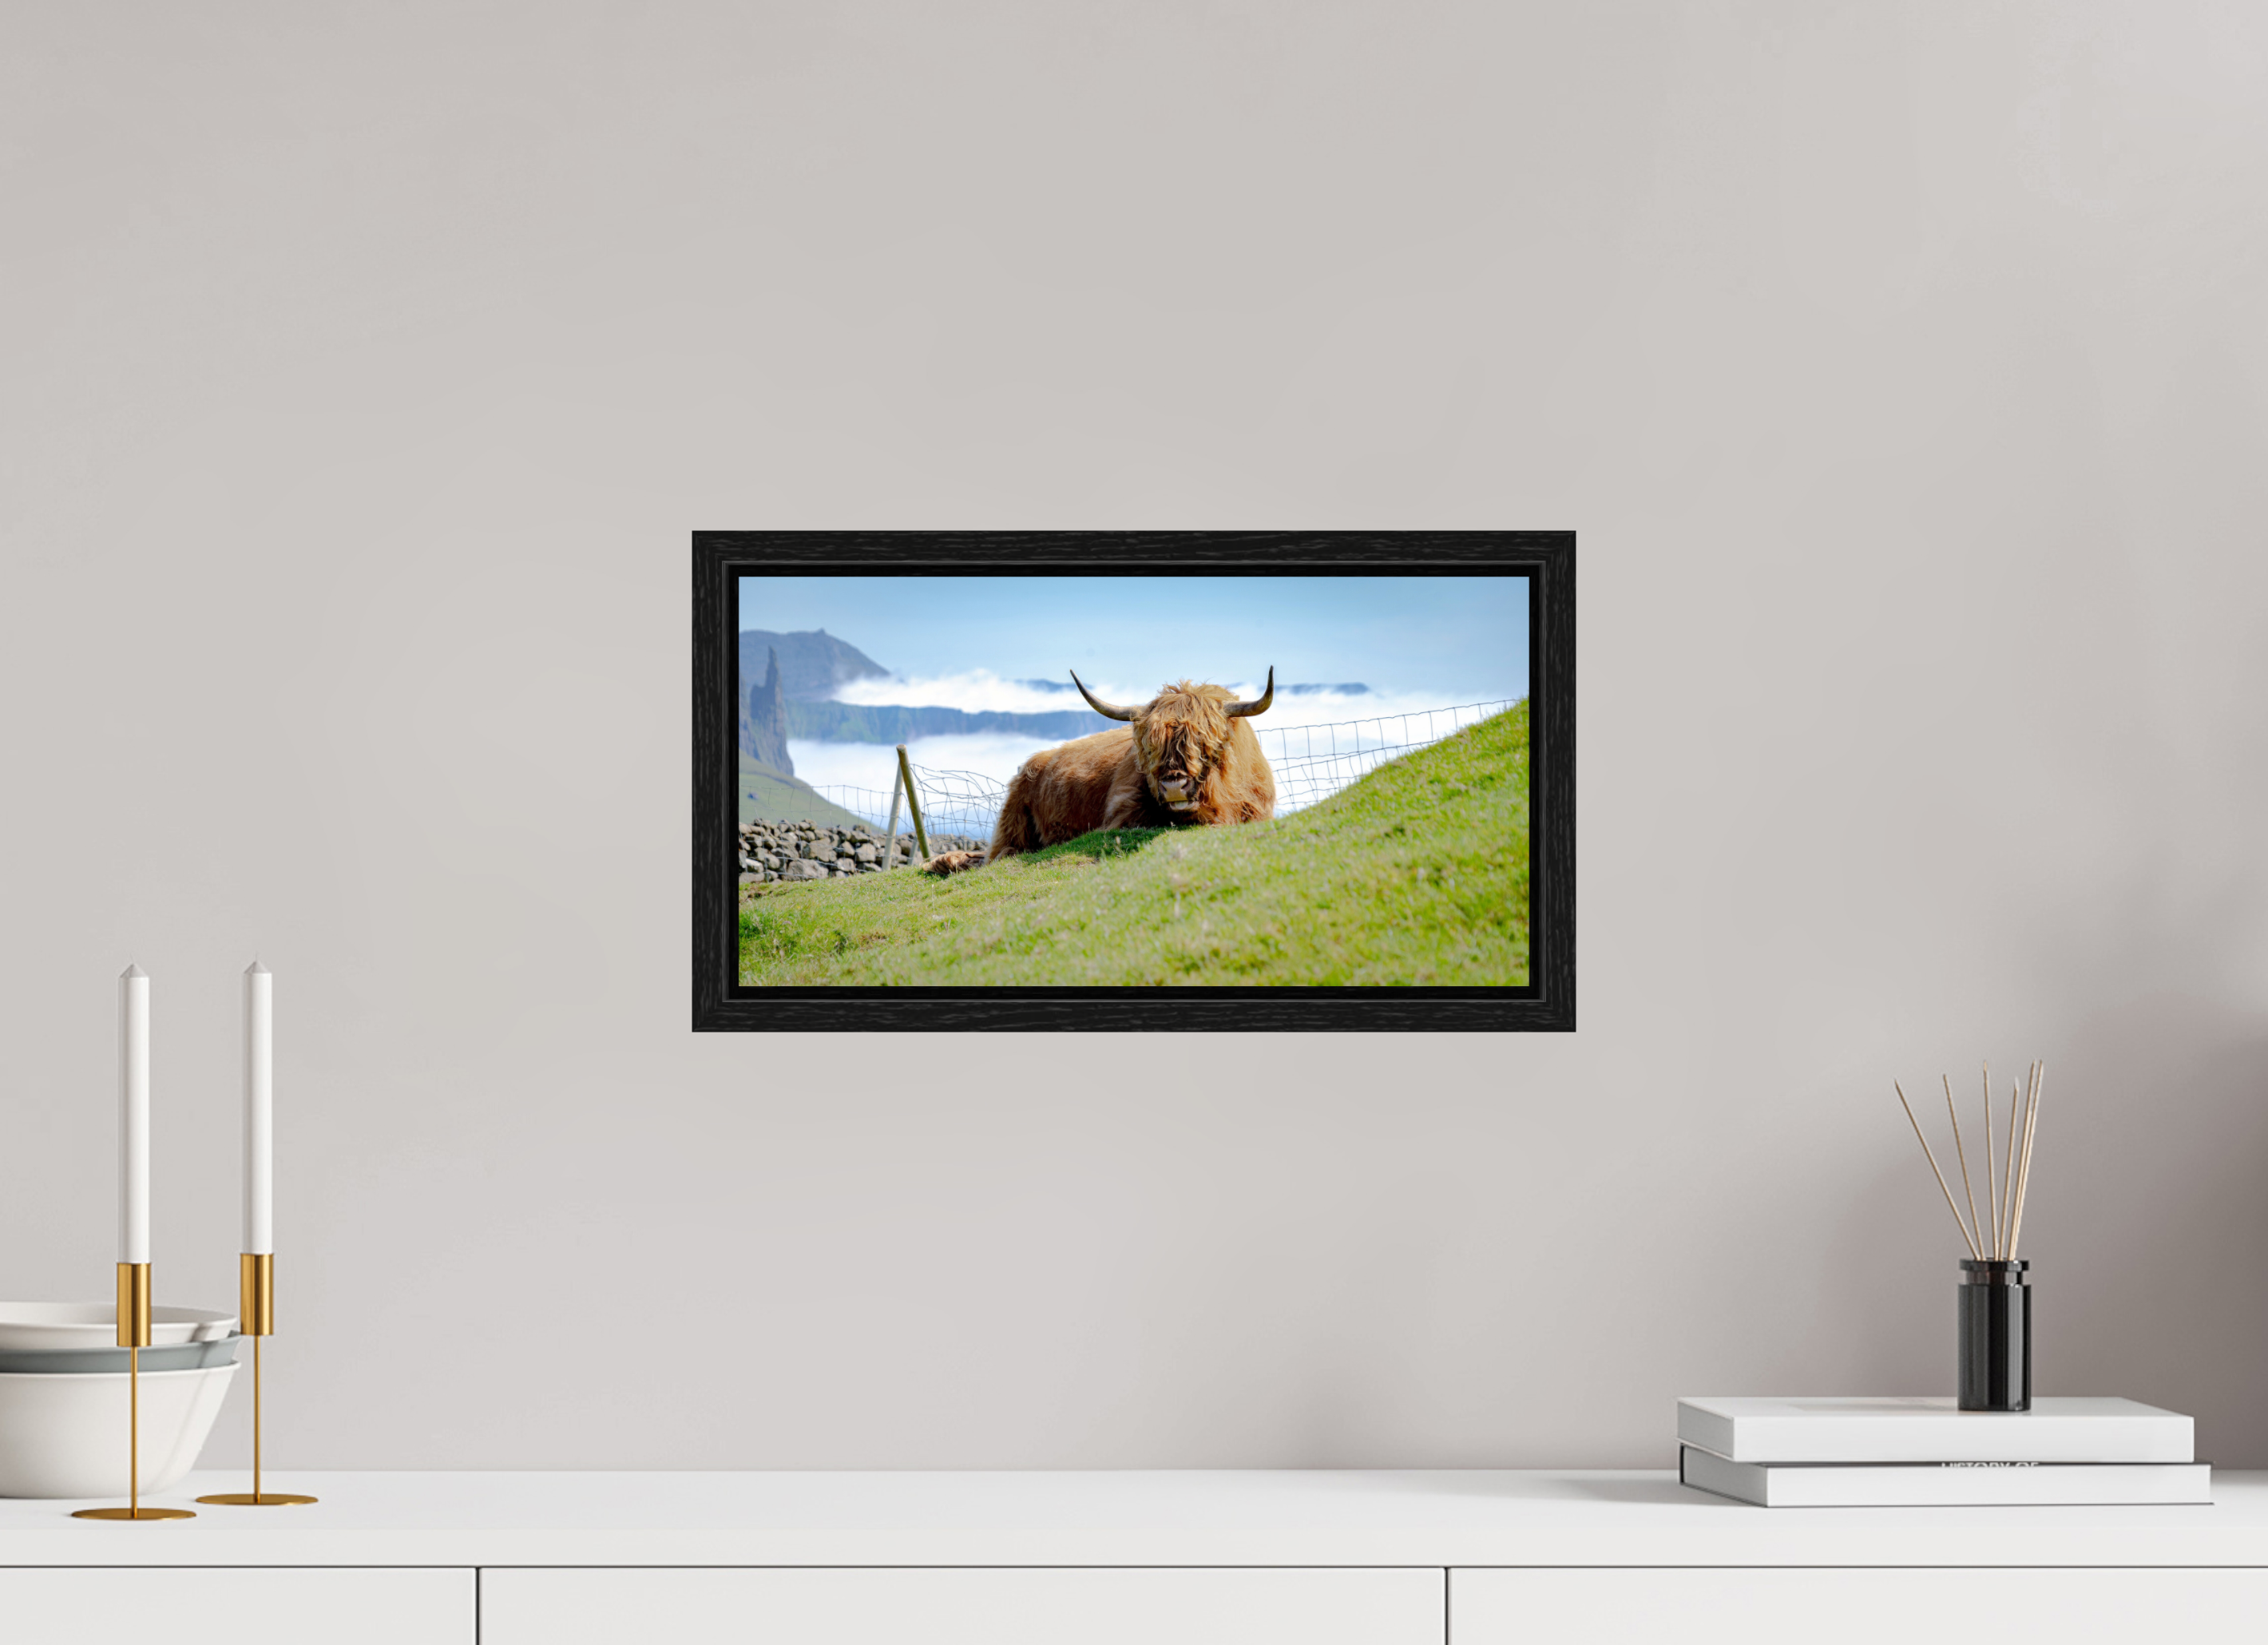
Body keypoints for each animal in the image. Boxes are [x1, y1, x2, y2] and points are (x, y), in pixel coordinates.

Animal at [923, 668, 1278, 874]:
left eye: (1206, 744)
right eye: (1149, 747)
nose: (1174, 786)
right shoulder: (1121, 815)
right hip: (1012, 820)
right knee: (999, 853)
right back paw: (942, 862)